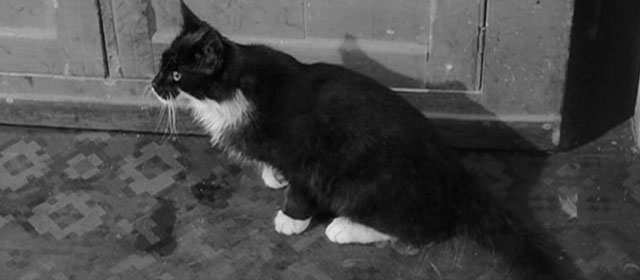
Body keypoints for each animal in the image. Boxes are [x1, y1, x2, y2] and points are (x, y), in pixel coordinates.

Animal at [152, 1, 568, 278]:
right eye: (161, 63)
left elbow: (303, 187)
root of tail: (457, 182)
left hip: (371, 184)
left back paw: (345, 227)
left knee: (420, 231)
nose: (154, 85)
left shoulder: (307, 152)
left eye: (177, 74)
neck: (235, 87)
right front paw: (274, 175)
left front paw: (292, 218)